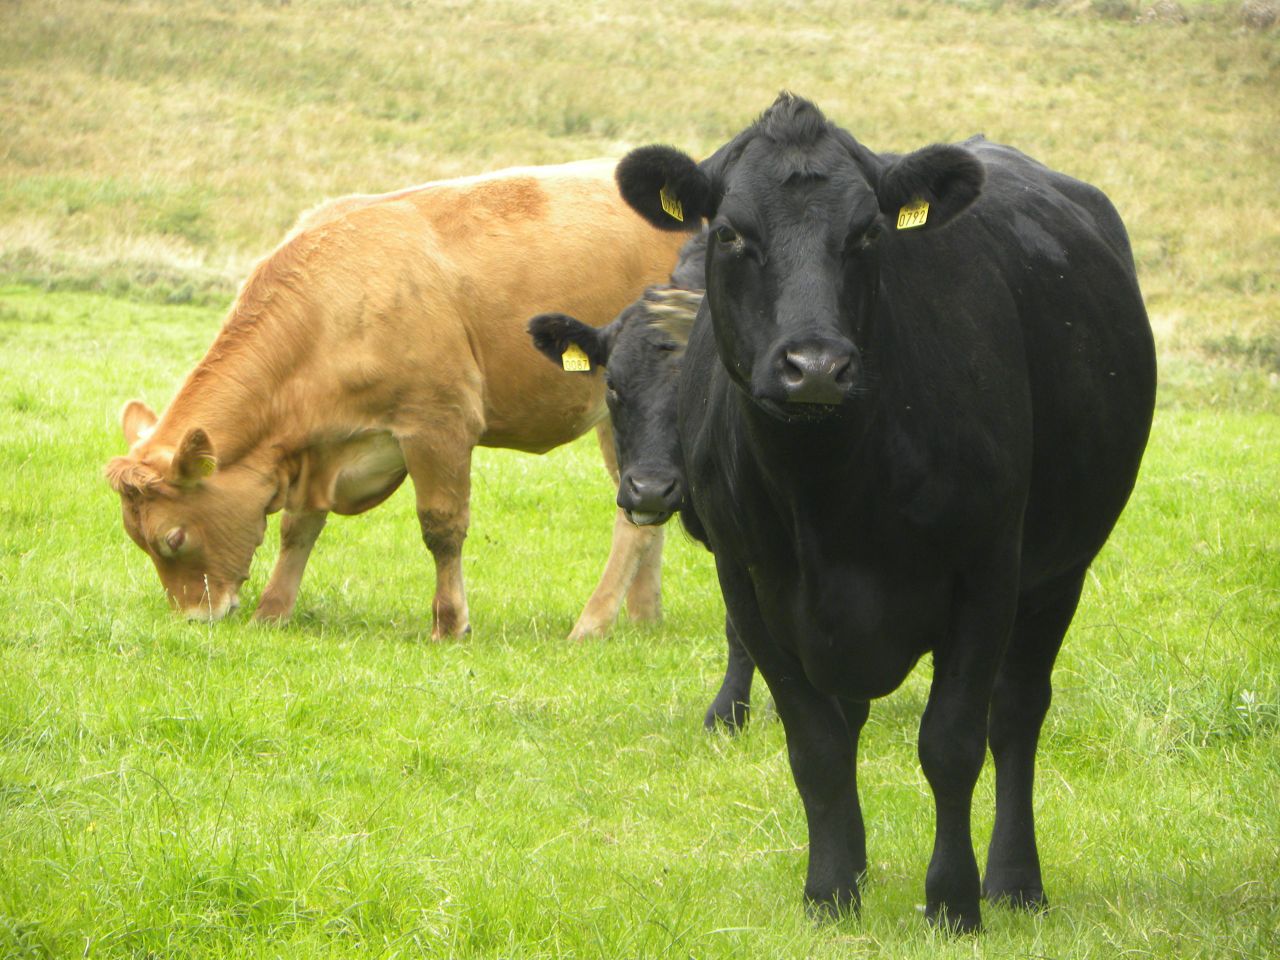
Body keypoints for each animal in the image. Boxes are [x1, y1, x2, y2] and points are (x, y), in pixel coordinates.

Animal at [105, 159, 692, 639]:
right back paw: (642, 618)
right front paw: (272, 611)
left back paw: (591, 623)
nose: (194, 617)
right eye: (139, 539)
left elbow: (442, 527)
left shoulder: (438, 423)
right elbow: (298, 529)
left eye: (174, 537)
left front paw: (450, 624)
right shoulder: (318, 451)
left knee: (631, 520)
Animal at [609, 94, 1157, 931]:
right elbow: (817, 745)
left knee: (1017, 715)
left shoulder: (986, 574)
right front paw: (832, 890)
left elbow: (953, 743)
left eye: (868, 233)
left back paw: (1015, 879)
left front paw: (953, 899)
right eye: (731, 232)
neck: (828, 488)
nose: (815, 367)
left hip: (1058, 570)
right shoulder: (753, 582)